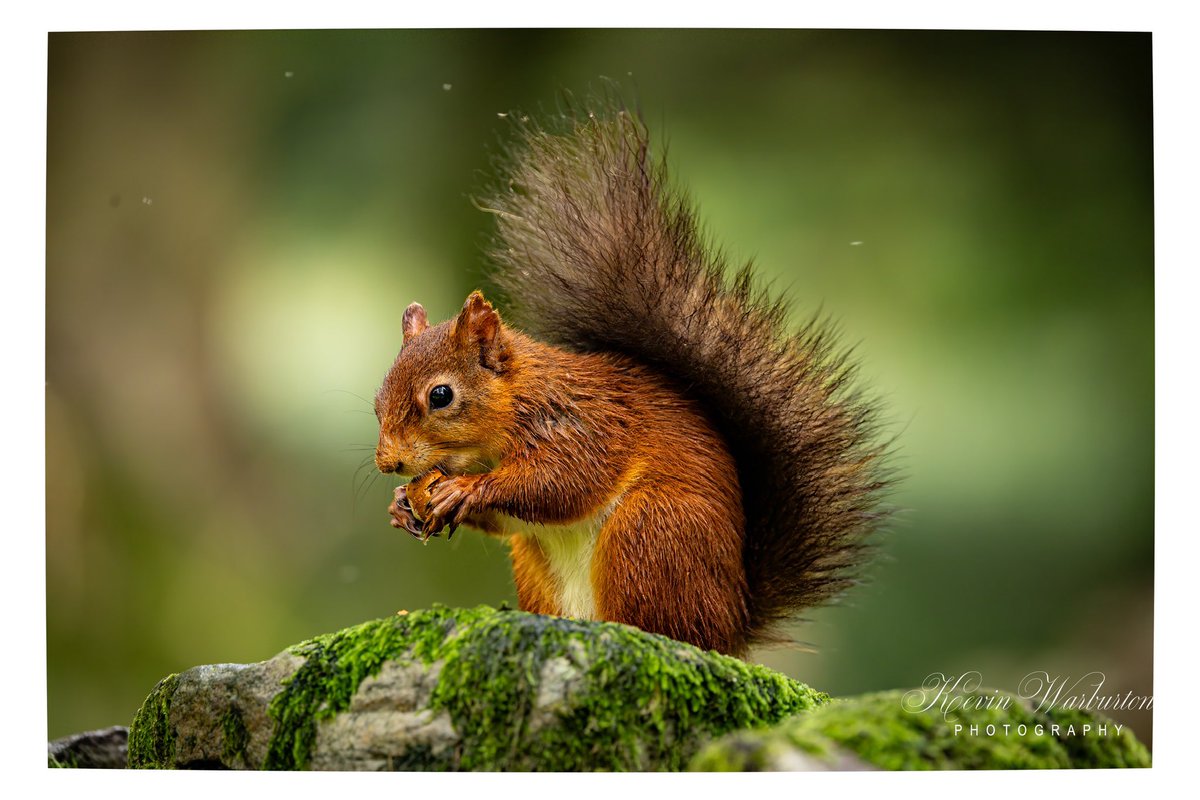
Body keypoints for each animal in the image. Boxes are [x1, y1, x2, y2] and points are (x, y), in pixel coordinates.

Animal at [374, 100, 890, 657]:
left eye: (441, 395)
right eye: (378, 399)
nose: (389, 463)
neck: (512, 409)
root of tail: (731, 626)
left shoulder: (586, 425)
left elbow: (561, 482)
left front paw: (467, 489)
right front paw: (402, 506)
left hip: (649, 532)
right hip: (538, 560)